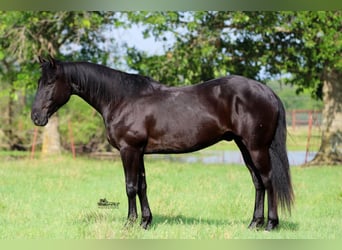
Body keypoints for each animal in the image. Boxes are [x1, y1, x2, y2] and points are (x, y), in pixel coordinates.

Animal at [31, 56, 294, 230]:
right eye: (39, 82)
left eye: (50, 83)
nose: (35, 117)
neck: (122, 99)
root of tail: (268, 92)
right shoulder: (139, 152)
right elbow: (142, 186)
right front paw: (146, 222)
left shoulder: (128, 150)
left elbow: (130, 187)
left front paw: (130, 223)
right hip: (244, 146)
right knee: (257, 182)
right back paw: (253, 223)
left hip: (257, 147)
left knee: (268, 181)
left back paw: (271, 224)